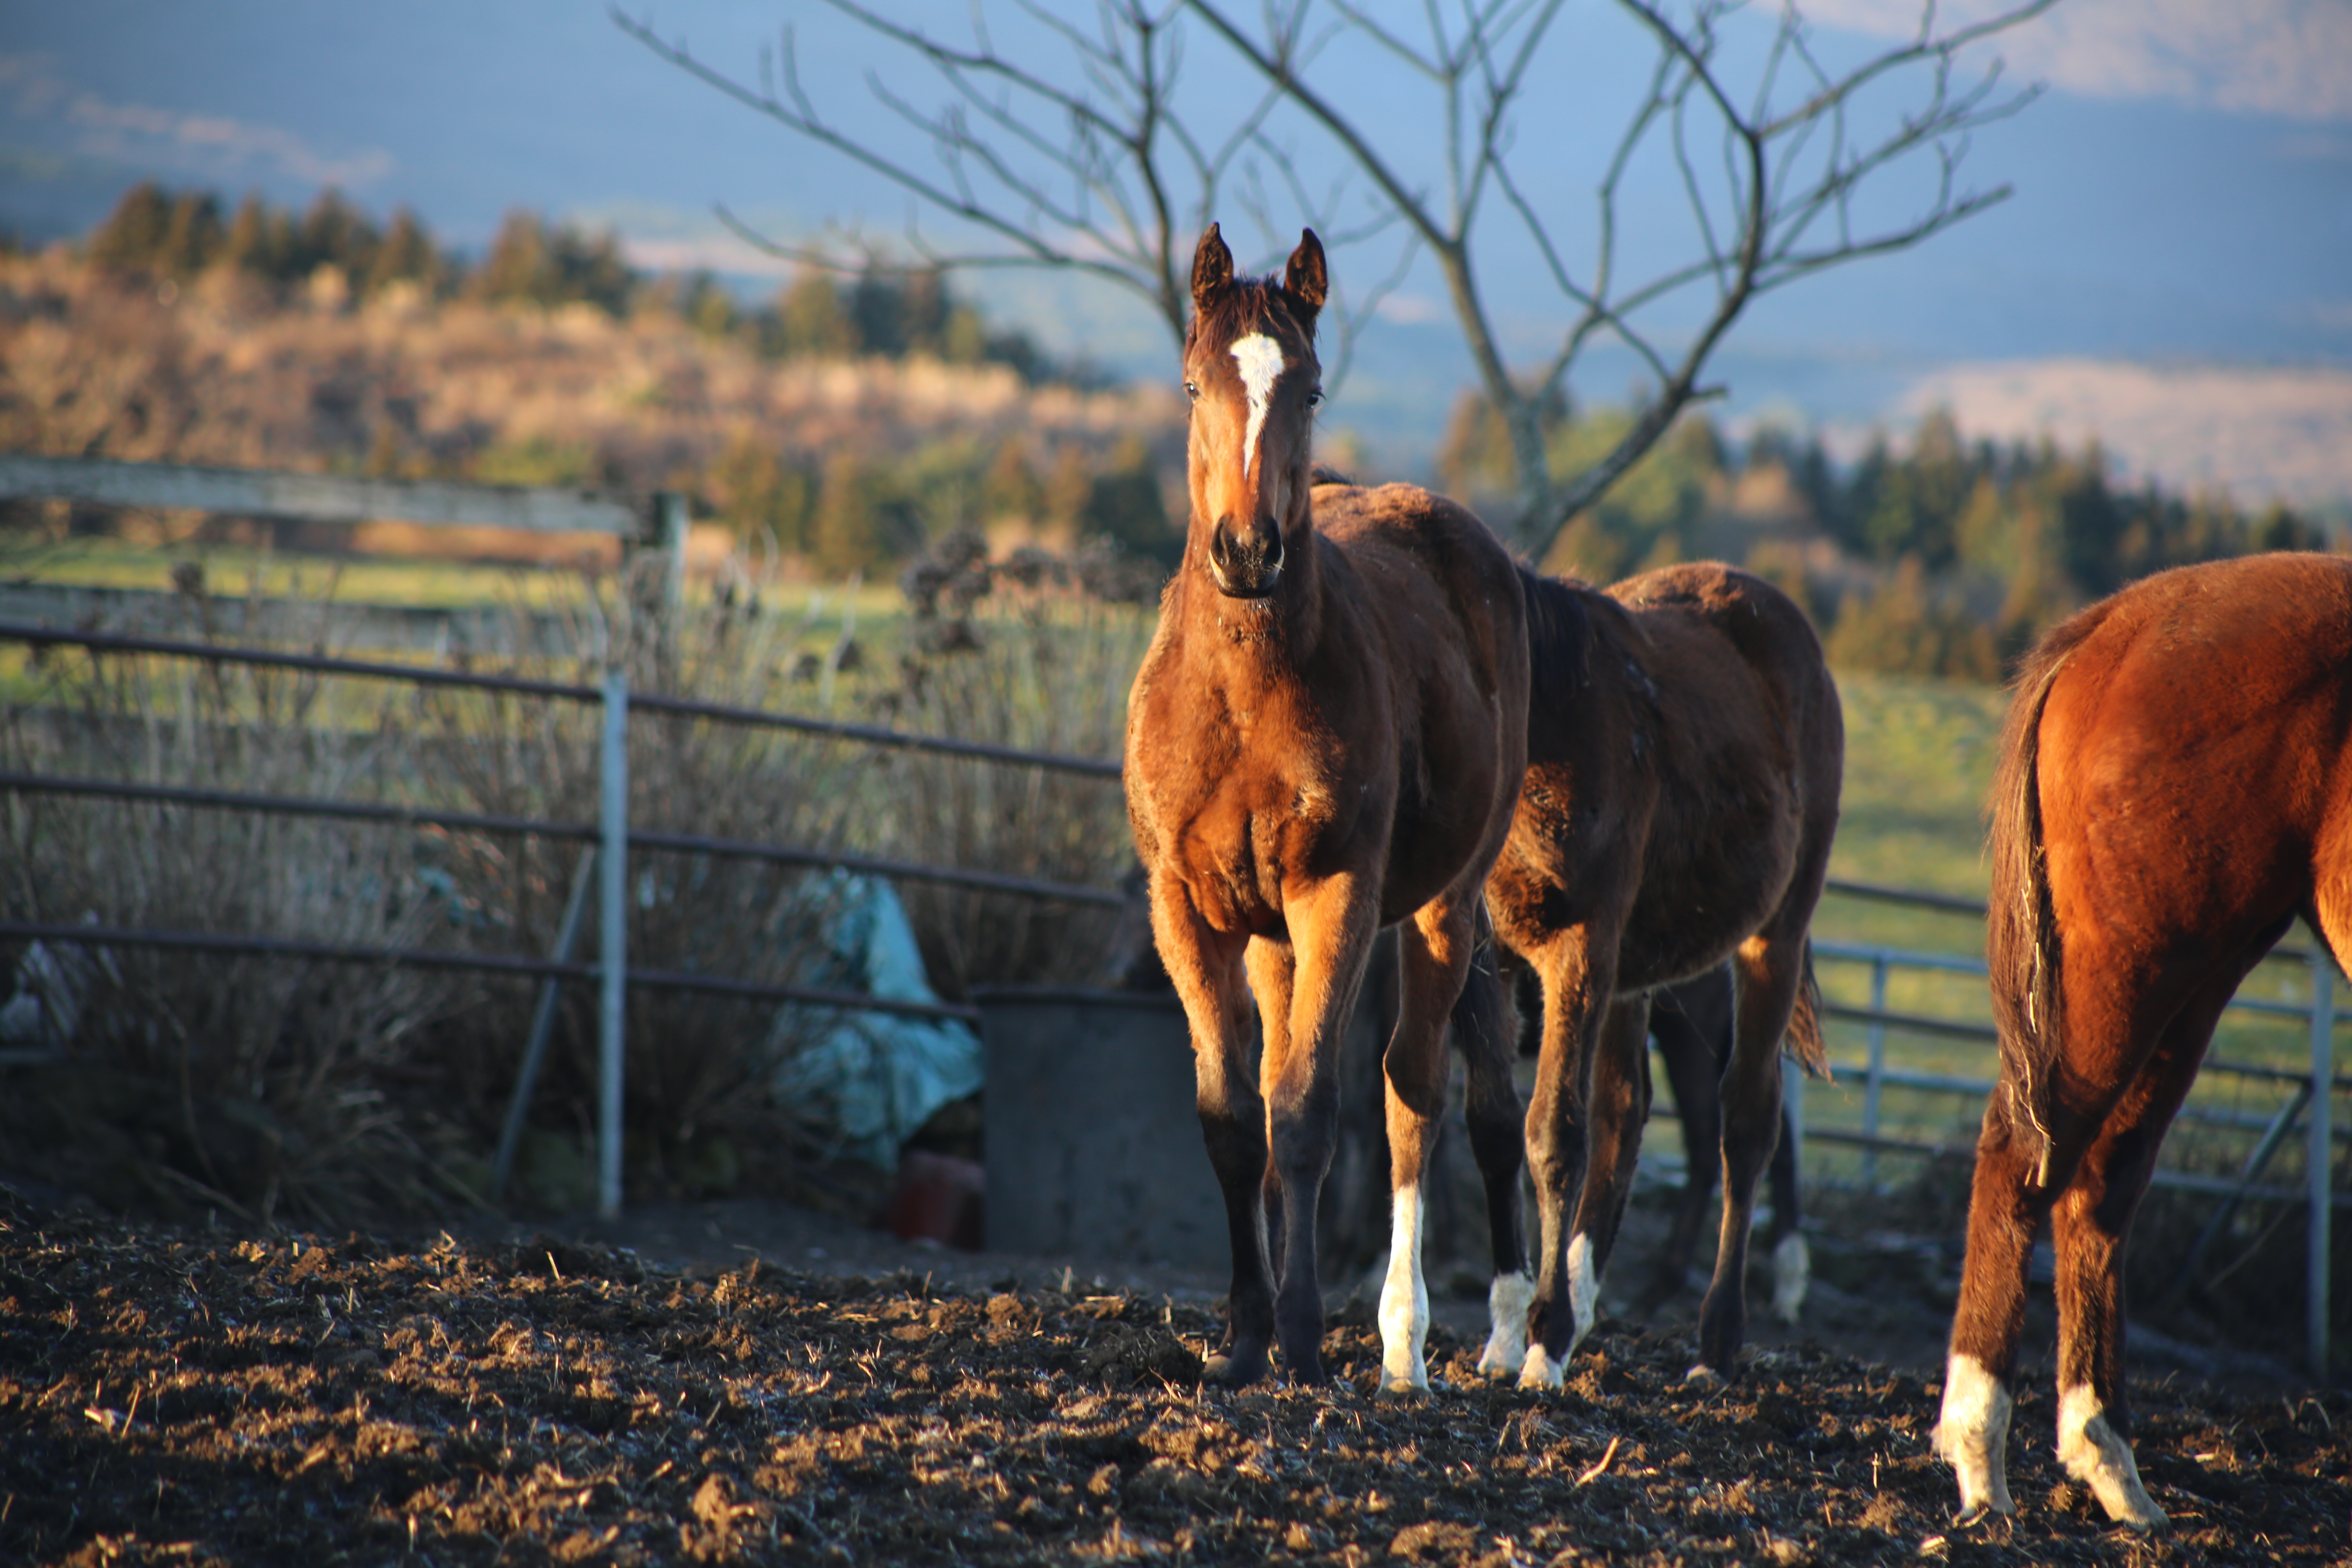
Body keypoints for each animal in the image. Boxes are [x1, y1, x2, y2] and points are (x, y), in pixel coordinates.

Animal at [1129, 227, 1533, 1392]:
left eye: (1308, 386)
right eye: (1193, 383)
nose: (1246, 551)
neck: (1239, 695)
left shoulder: (1337, 897)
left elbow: (1309, 1112)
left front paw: (1303, 1339)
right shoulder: (1184, 908)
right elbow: (1237, 1120)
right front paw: (1240, 1338)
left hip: (1443, 906)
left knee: (1419, 1096)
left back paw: (1422, 1342)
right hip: (1282, 935)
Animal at [1477, 561, 1844, 1382]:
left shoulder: (1579, 950)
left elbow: (1553, 1135)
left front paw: (1539, 1342)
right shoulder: (1486, 959)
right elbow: (1491, 1129)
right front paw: (1511, 1336)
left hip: (1771, 936)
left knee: (1747, 1124)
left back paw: (1716, 1339)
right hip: (1633, 975)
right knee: (1626, 1113)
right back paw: (1585, 1309)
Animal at [1929, 555, 2352, 1532]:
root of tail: (2110, 626)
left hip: (2197, 980)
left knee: (2099, 1187)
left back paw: (2110, 1465)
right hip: (2136, 970)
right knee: (2023, 1162)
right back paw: (1982, 1462)